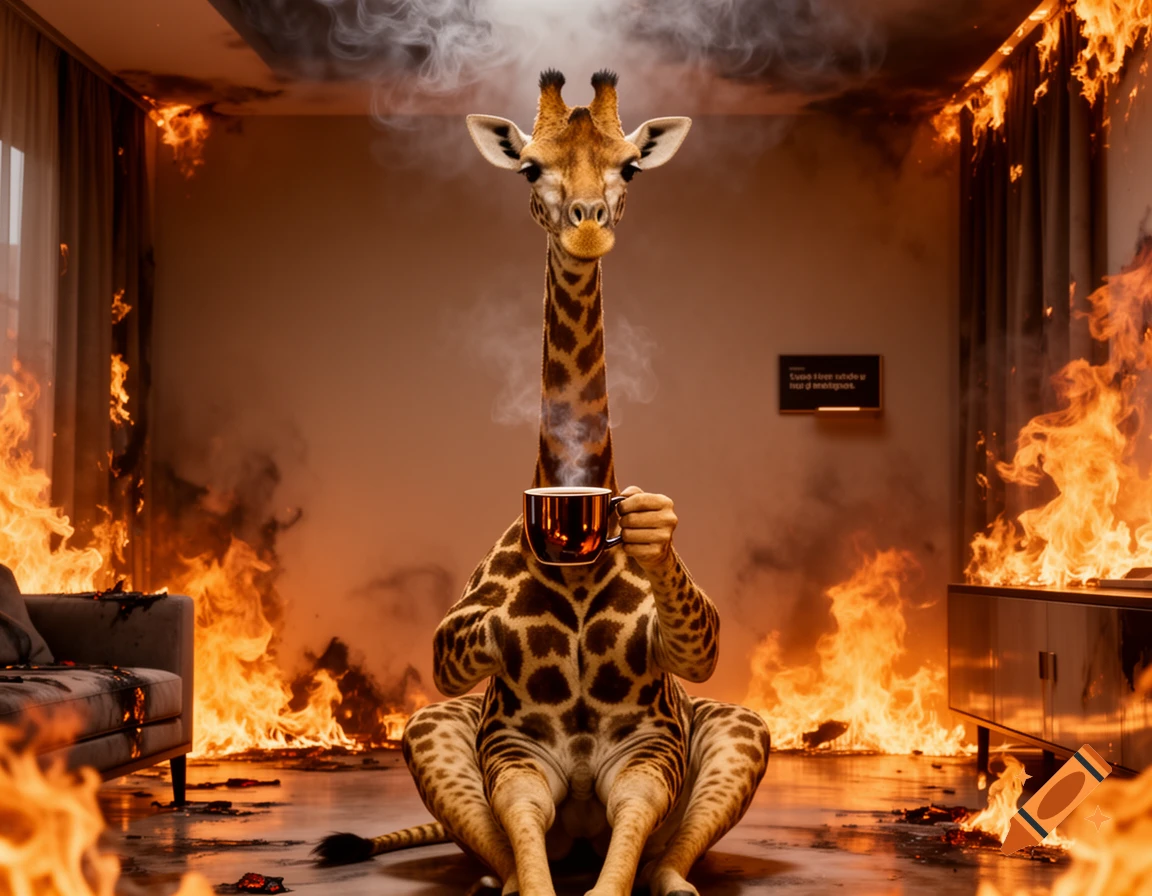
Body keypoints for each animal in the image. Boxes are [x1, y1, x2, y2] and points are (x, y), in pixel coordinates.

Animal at [314, 70, 771, 896]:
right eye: (531, 168)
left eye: (630, 167)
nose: (587, 228)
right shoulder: (516, 754)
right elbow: (528, 859)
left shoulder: (648, 751)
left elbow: (622, 859)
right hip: (434, 724)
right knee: (498, 852)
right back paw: (486, 881)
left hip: (737, 727)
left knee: (669, 853)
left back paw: (678, 883)